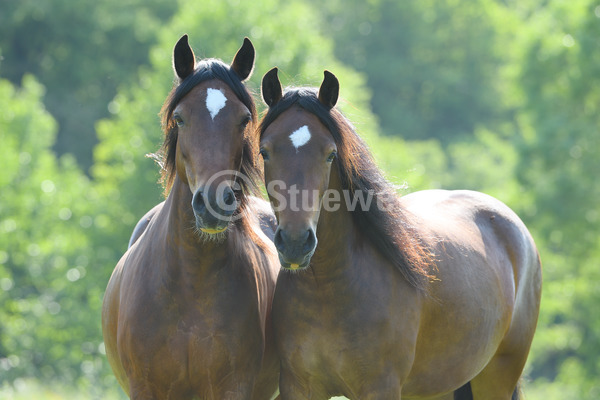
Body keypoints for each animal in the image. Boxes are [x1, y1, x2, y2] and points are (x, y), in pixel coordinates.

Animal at [102, 36, 282, 398]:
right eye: (181, 118)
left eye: (244, 119)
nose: (213, 202)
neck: (192, 281)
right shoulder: (145, 387)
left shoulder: (234, 387)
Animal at [260, 69, 540, 400]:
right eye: (265, 152)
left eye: (330, 154)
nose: (295, 243)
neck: (330, 288)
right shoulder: (299, 386)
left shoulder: (381, 387)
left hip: (496, 378)